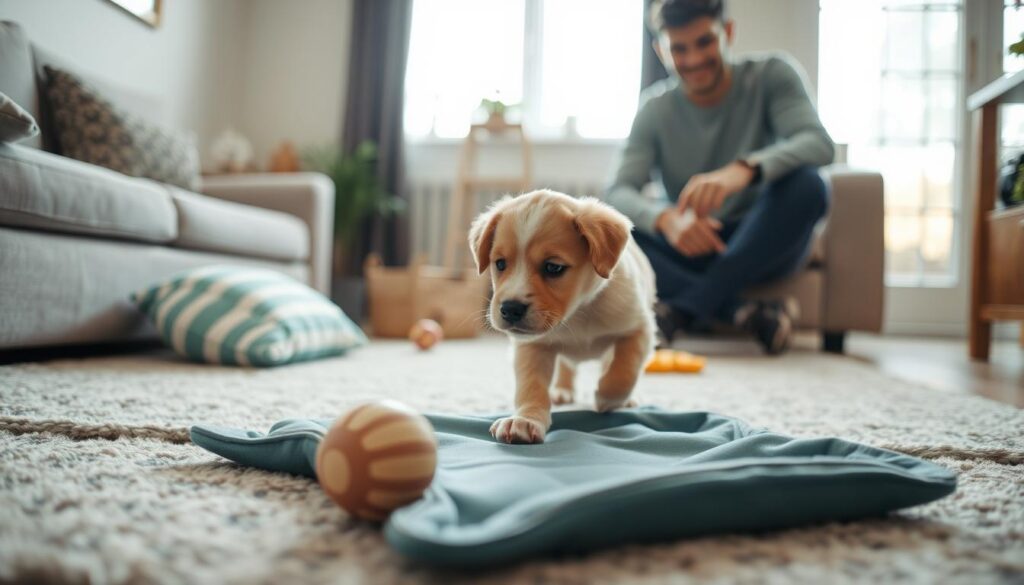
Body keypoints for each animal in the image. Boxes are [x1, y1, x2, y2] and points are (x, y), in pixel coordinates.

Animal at [466, 188, 655, 444]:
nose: (510, 309)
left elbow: (624, 369)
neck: (578, 312)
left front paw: (608, 398)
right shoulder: (532, 346)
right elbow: (531, 387)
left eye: (553, 267)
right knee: (567, 366)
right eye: (500, 264)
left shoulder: (639, 328)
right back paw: (562, 391)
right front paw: (525, 420)